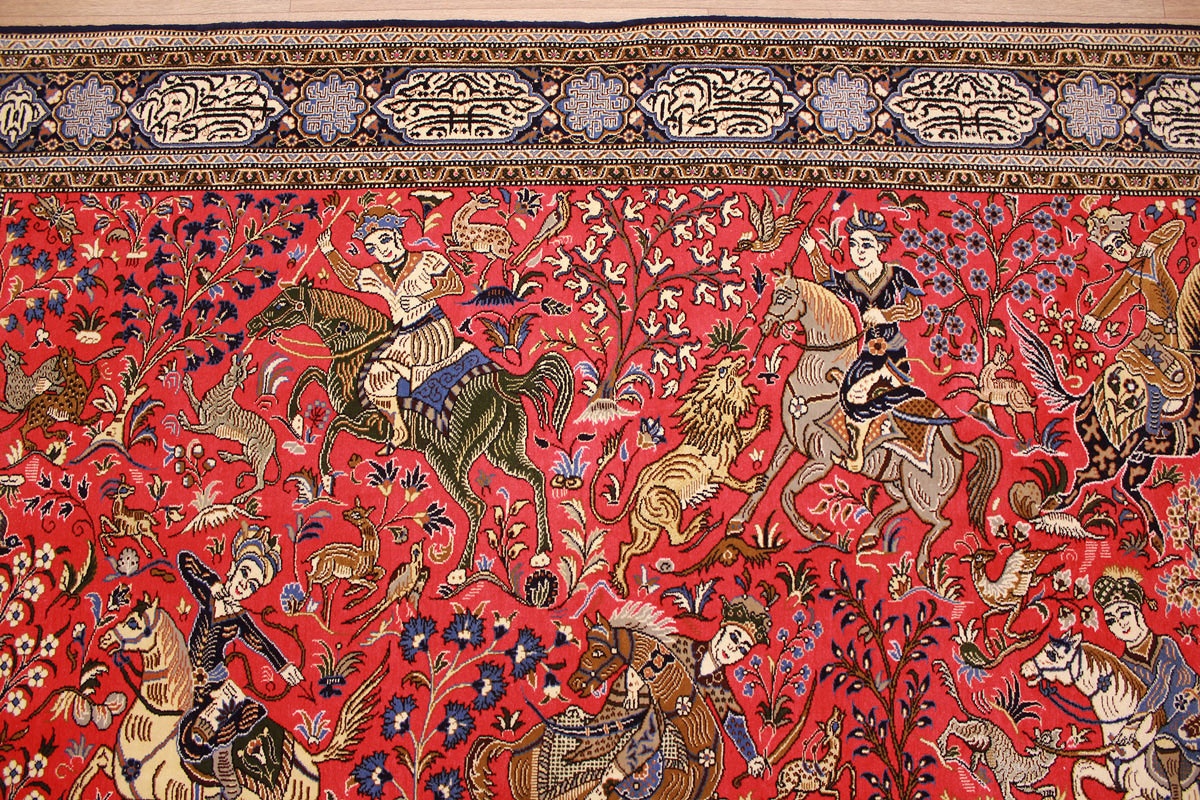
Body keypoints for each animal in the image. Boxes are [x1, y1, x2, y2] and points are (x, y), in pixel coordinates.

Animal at [245, 280, 573, 577]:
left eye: (282, 304)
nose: (251, 324)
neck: (359, 352)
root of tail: (503, 382)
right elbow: (311, 375)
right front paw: (296, 418)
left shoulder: (371, 424)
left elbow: (333, 424)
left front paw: (326, 472)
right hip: (502, 450)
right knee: (536, 478)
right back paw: (542, 551)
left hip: (447, 458)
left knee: (476, 505)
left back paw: (460, 569)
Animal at [305, 497, 386, 625]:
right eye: (353, 509)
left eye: (357, 514)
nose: (344, 513)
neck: (367, 554)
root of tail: (316, 555)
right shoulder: (354, 576)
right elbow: (373, 586)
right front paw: (350, 602)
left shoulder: (368, 571)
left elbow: (380, 573)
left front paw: (350, 591)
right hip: (324, 571)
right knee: (310, 577)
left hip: (330, 574)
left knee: (322, 583)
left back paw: (324, 614)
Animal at [591, 356, 770, 596]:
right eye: (723, 370)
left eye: (729, 361)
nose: (742, 358)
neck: (718, 414)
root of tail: (640, 487)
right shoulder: (719, 470)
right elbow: (734, 481)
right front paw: (751, 484)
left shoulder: (732, 440)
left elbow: (746, 434)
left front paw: (761, 419)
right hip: (667, 502)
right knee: (674, 539)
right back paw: (696, 523)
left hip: (647, 529)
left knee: (626, 548)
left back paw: (619, 579)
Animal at [731, 270, 1001, 581]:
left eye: (784, 296)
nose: (765, 324)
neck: (817, 382)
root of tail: (953, 440)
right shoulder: (788, 440)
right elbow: (766, 479)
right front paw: (738, 520)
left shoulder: (821, 460)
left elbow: (786, 493)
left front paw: (813, 531)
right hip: (897, 482)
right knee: (902, 505)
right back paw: (869, 535)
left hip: (921, 491)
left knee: (940, 522)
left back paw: (922, 566)